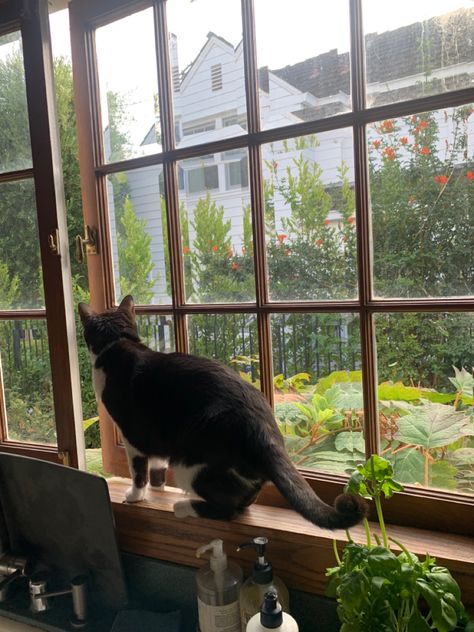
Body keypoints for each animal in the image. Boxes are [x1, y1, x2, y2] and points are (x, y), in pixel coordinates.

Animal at [78, 296, 366, 528]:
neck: (116, 344)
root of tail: (264, 431)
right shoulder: (155, 433)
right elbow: (157, 463)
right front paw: (159, 486)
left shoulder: (133, 435)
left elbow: (138, 471)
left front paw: (135, 497)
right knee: (244, 497)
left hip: (190, 463)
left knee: (227, 509)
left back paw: (184, 507)